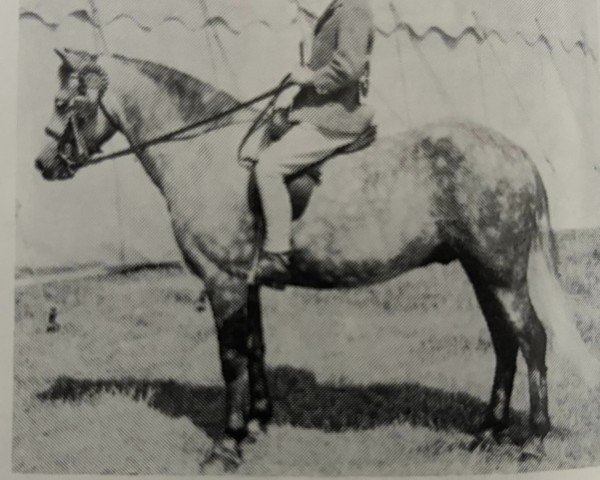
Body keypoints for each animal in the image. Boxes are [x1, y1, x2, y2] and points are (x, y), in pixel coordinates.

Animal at [35, 49, 596, 464]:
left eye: (65, 102)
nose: (43, 165)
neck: (205, 152)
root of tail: (515, 153)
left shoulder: (223, 281)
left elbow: (231, 358)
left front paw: (227, 444)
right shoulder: (246, 281)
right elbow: (256, 349)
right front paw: (258, 423)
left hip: (500, 272)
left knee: (531, 338)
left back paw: (533, 439)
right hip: (481, 271)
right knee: (504, 341)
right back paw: (487, 431)